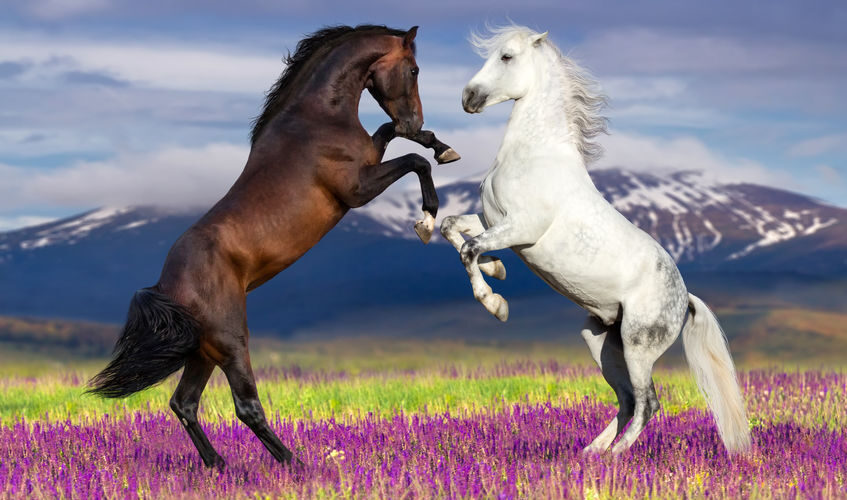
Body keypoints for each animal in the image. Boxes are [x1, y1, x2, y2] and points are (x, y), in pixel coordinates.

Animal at [87, 24, 460, 468]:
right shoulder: (357, 189)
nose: (413, 118)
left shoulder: (371, 157)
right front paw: (427, 219)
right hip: (231, 342)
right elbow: (415, 162)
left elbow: (396, 139)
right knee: (245, 406)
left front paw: (440, 145)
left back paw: (219, 466)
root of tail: (165, 286)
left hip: (204, 351)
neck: (317, 119)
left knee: (184, 403)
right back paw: (295, 463)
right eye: (415, 69)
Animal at [440, 25, 751, 455]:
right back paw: (592, 453)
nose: (469, 98)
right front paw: (497, 269)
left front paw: (496, 304)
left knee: (648, 402)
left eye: (506, 57)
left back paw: (616, 456)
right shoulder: (493, 220)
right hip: (600, 340)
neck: (534, 155)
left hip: (638, 346)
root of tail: (684, 298)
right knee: (627, 400)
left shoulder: (521, 228)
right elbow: (451, 227)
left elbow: (469, 249)